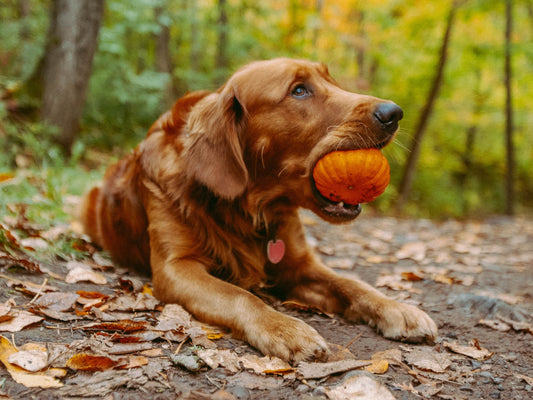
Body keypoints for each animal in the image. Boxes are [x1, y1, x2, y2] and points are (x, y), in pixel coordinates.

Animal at [81, 58, 434, 362]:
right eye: (299, 90)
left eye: (331, 80)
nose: (394, 113)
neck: (252, 210)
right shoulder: (176, 268)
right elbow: (239, 295)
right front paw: (285, 329)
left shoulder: (299, 264)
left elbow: (351, 283)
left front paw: (398, 308)